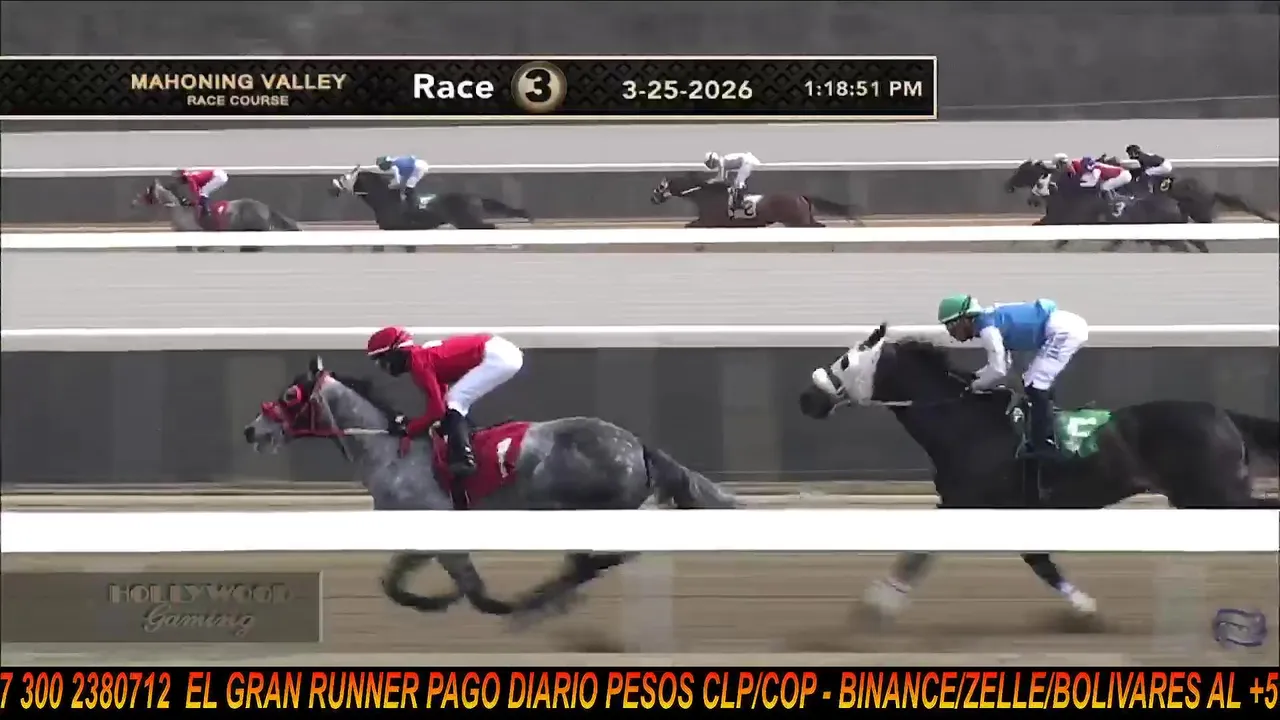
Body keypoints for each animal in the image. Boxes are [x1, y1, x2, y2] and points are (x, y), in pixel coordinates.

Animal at [243, 356, 737, 627]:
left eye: (288, 396)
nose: (251, 431)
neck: (391, 452)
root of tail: (637, 445)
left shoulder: (438, 530)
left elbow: (477, 596)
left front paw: (484, 603)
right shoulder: (420, 538)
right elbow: (394, 585)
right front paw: (440, 600)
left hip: (578, 506)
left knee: (599, 558)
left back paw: (547, 597)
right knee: (597, 559)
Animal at [328, 166, 533, 231]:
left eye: (344, 177)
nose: (332, 189)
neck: (384, 199)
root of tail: (476, 197)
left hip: (467, 221)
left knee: (490, 227)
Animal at [650, 173, 864, 228]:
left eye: (660, 187)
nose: (652, 198)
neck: (707, 195)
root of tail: (801, 195)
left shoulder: (708, 222)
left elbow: (689, 226)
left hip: (798, 221)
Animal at [797, 323, 1279, 624]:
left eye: (844, 362)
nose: (807, 398)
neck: (967, 425)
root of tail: (1222, 414)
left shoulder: (963, 503)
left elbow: (919, 552)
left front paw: (875, 606)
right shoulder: (1008, 507)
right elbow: (1038, 560)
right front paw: (1085, 609)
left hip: (1215, 494)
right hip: (1198, 497)